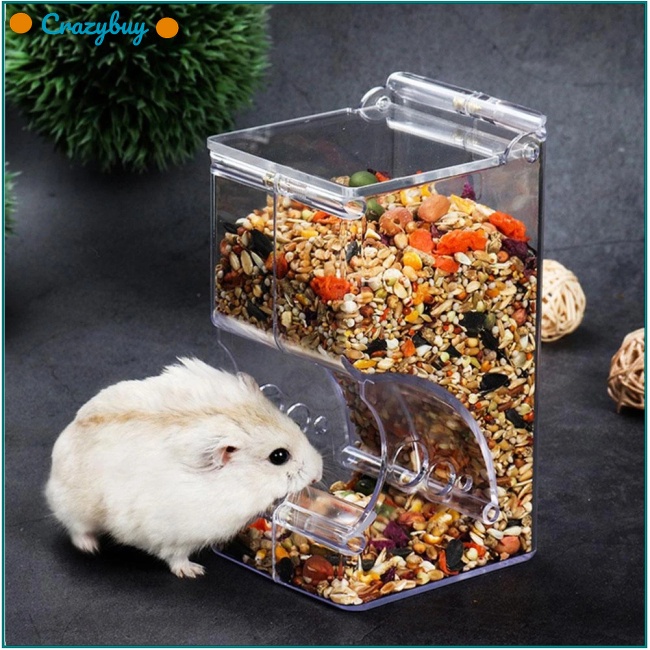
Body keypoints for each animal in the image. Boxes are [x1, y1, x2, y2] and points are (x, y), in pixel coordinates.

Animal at [45, 358, 323, 578]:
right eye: (279, 456)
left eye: (297, 425)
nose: (318, 473)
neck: (241, 483)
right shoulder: (175, 534)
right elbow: (175, 556)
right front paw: (194, 572)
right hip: (75, 507)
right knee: (75, 528)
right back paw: (90, 547)